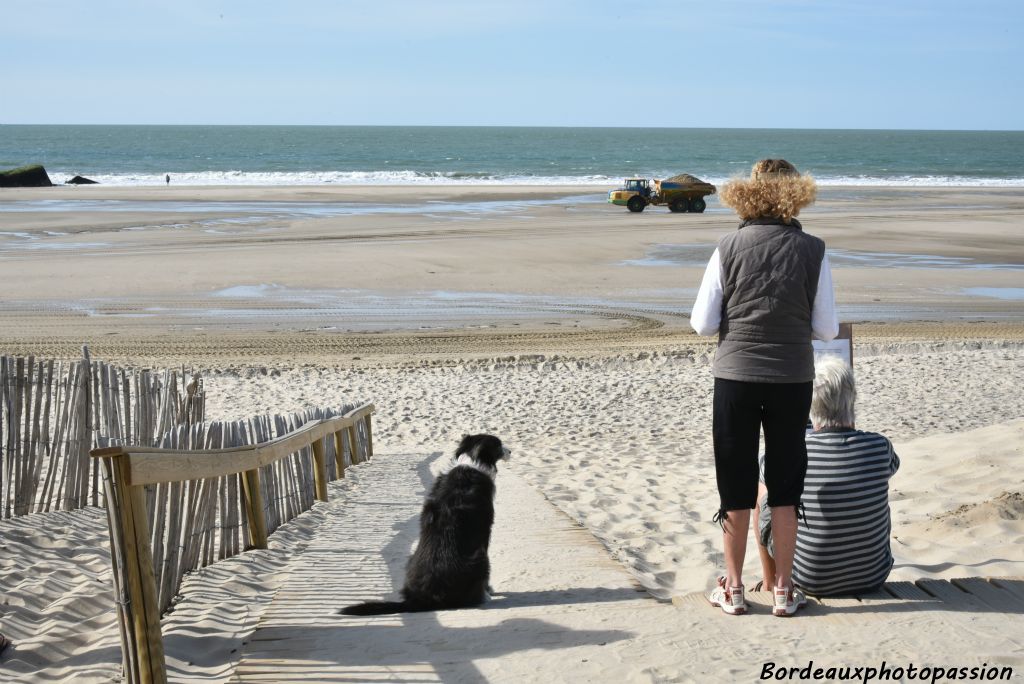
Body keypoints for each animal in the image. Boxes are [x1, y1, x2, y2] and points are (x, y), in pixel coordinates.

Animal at [339, 436, 507, 618]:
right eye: (499, 445)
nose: (510, 451)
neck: (470, 462)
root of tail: (420, 598)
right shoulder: (485, 533)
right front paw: (489, 591)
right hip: (480, 558)